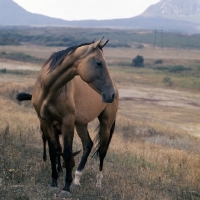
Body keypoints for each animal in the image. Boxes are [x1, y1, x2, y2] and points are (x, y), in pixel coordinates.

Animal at [16, 38, 119, 198]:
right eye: (98, 63)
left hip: (106, 124)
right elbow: (54, 150)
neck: (49, 90)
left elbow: (67, 152)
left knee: (102, 151)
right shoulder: (46, 121)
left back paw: (98, 183)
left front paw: (66, 187)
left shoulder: (67, 122)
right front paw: (54, 183)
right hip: (81, 124)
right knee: (88, 145)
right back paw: (77, 179)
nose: (111, 94)